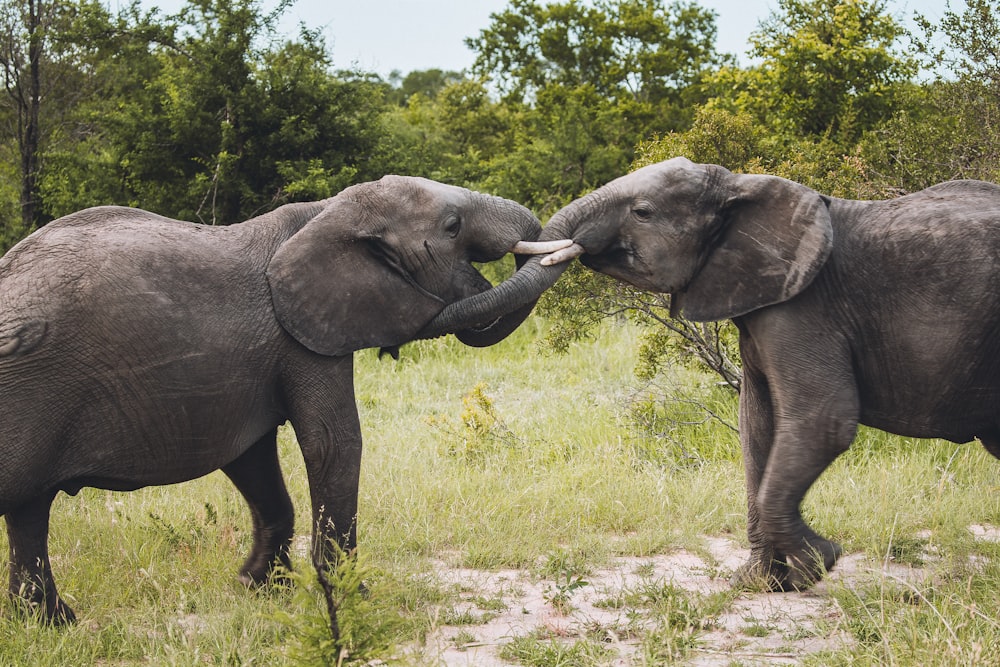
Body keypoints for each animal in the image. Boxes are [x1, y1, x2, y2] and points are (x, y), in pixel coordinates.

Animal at [0, 175, 572, 624]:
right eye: (452, 226)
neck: (328, 212)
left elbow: (251, 459)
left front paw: (259, 587)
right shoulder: (300, 341)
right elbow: (333, 444)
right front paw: (355, 600)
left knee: (29, 512)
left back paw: (55, 624)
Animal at [420, 159, 1000, 592]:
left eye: (643, 211)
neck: (744, 188)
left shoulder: (804, 307)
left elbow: (822, 421)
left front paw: (821, 562)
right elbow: (757, 427)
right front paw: (763, 584)